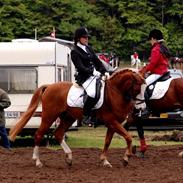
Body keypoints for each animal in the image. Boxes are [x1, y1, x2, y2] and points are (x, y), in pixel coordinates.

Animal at [8, 68, 144, 167]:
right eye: (138, 87)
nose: (141, 108)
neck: (114, 93)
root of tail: (49, 86)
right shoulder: (112, 121)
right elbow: (128, 137)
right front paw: (126, 158)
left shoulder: (112, 124)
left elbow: (107, 142)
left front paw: (105, 161)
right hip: (49, 116)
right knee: (39, 134)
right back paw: (37, 161)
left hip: (68, 118)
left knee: (58, 133)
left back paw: (69, 157)